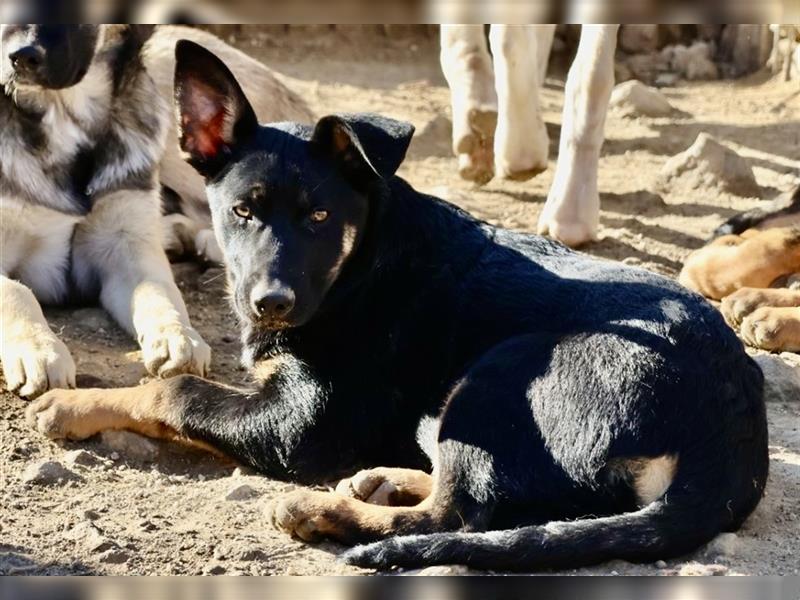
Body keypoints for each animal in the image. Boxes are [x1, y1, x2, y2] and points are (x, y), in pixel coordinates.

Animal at [0, 24, 212, 398]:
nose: (20, 57)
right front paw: (39, 349)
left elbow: (158, 290)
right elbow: (15, 292)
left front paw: (177, 334)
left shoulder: (121, 244)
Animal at [26, 42, 768, 572]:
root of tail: (728, 441)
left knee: (457, 515)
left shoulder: (297, 428)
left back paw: (326, 513)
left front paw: (74, 404)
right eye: (241, 212)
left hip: (499, 376)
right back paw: (380, 479)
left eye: (320, 216)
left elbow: (175, 391)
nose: (271, 304)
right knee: (462, 485)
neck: (361, 264)